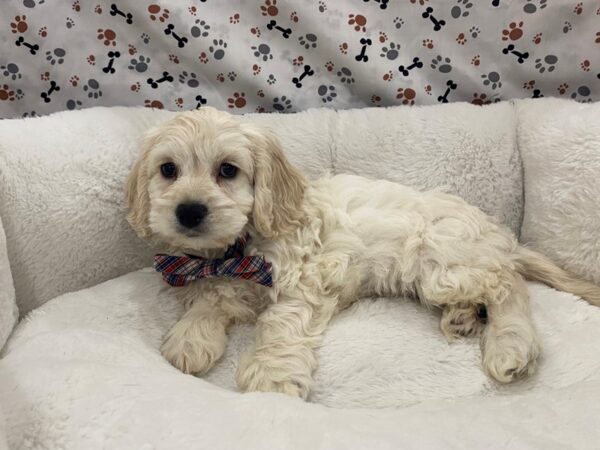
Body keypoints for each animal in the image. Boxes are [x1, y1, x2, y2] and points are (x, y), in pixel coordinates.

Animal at [126, 107, 600, 400]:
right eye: (168, 170)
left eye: (228, 170)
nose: (189, 211)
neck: (236, 249)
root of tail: (500, 234)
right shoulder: (213, 275)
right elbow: (211, 297)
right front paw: (192, 336)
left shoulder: (304, 280)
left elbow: (280, 324)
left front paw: (272, 375)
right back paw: (462, 317)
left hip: (445, 265)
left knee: (508, 284)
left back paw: (510, 344)